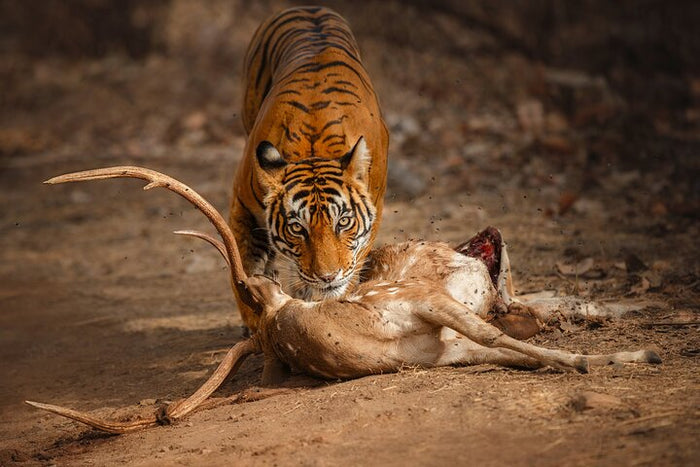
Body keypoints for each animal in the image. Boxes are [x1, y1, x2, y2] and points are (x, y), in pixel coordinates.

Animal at [228, 6, 389, 330]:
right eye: (296, 228)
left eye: (343, 222)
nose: (327, 277)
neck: (314, 149)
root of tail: (307, 7)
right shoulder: (242, 203)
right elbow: (244, 264)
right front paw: (257, 313)